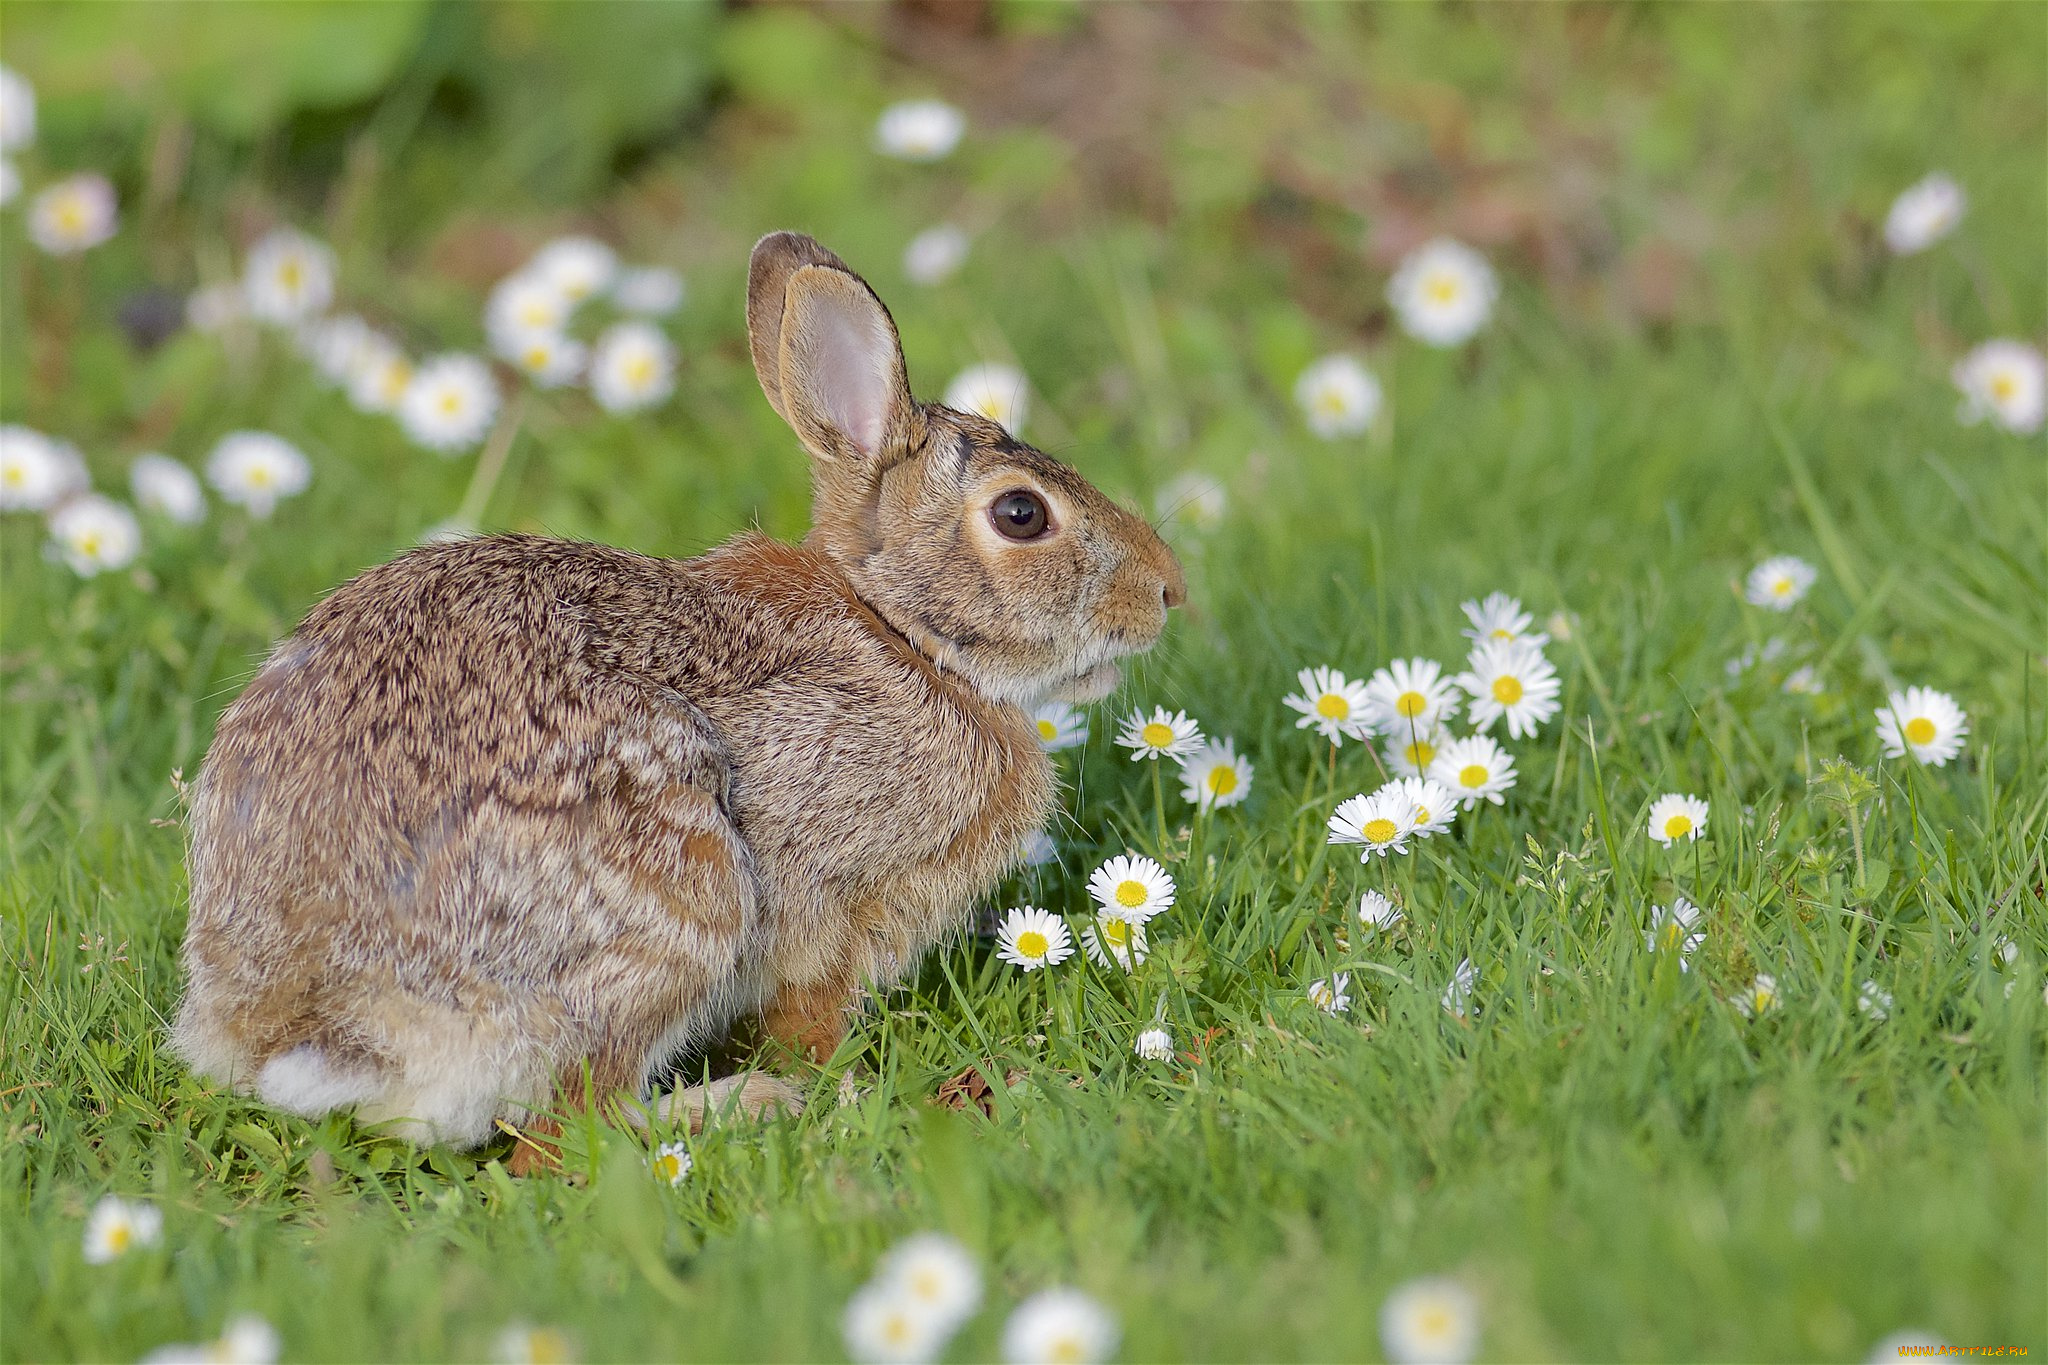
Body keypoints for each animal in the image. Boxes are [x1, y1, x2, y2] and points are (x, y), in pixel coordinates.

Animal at [174, 229, 1187, 1170]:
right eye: (1022, 514)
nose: (1169, 590)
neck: (900, 632)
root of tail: (308, 1028)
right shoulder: (831, 900)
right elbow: (809, 1008)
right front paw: (840, 1082)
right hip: (678, 899)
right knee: (573, 1123)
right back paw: (747, 1105)